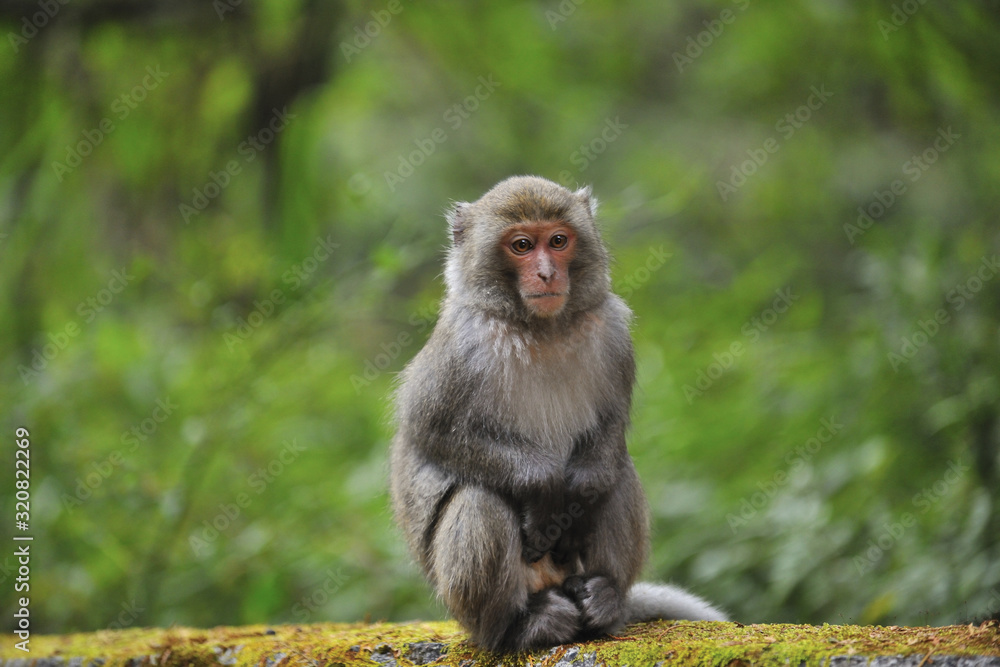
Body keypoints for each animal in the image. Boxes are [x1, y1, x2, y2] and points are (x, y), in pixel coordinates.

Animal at [386, 176, 724, 652]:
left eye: (558, 241)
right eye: (522, 246)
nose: (547, 273)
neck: (540, 327)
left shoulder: (612, 330)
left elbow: (610, 425)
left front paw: (581, 490)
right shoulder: (462, 347)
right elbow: (430, 431)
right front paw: (542, 484)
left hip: (573, 569)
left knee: (617, 472)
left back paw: (605, 599)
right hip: (473, 603)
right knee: (480, 497)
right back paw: (520, 625)